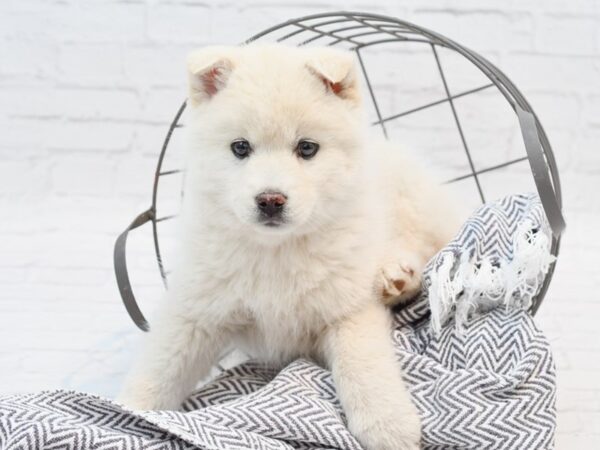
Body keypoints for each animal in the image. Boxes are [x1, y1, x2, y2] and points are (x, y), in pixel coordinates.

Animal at [119, 43, 462, 450]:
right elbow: (161, 366)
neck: (276, 250)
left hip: (415, 204)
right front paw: (128, 408)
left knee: (427, 245)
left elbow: (363, 365)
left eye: (307, 148)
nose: (270, 200)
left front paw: (388, 426)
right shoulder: (198, 308)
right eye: (240, 147)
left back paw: (395, 275)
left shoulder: (347, 308)